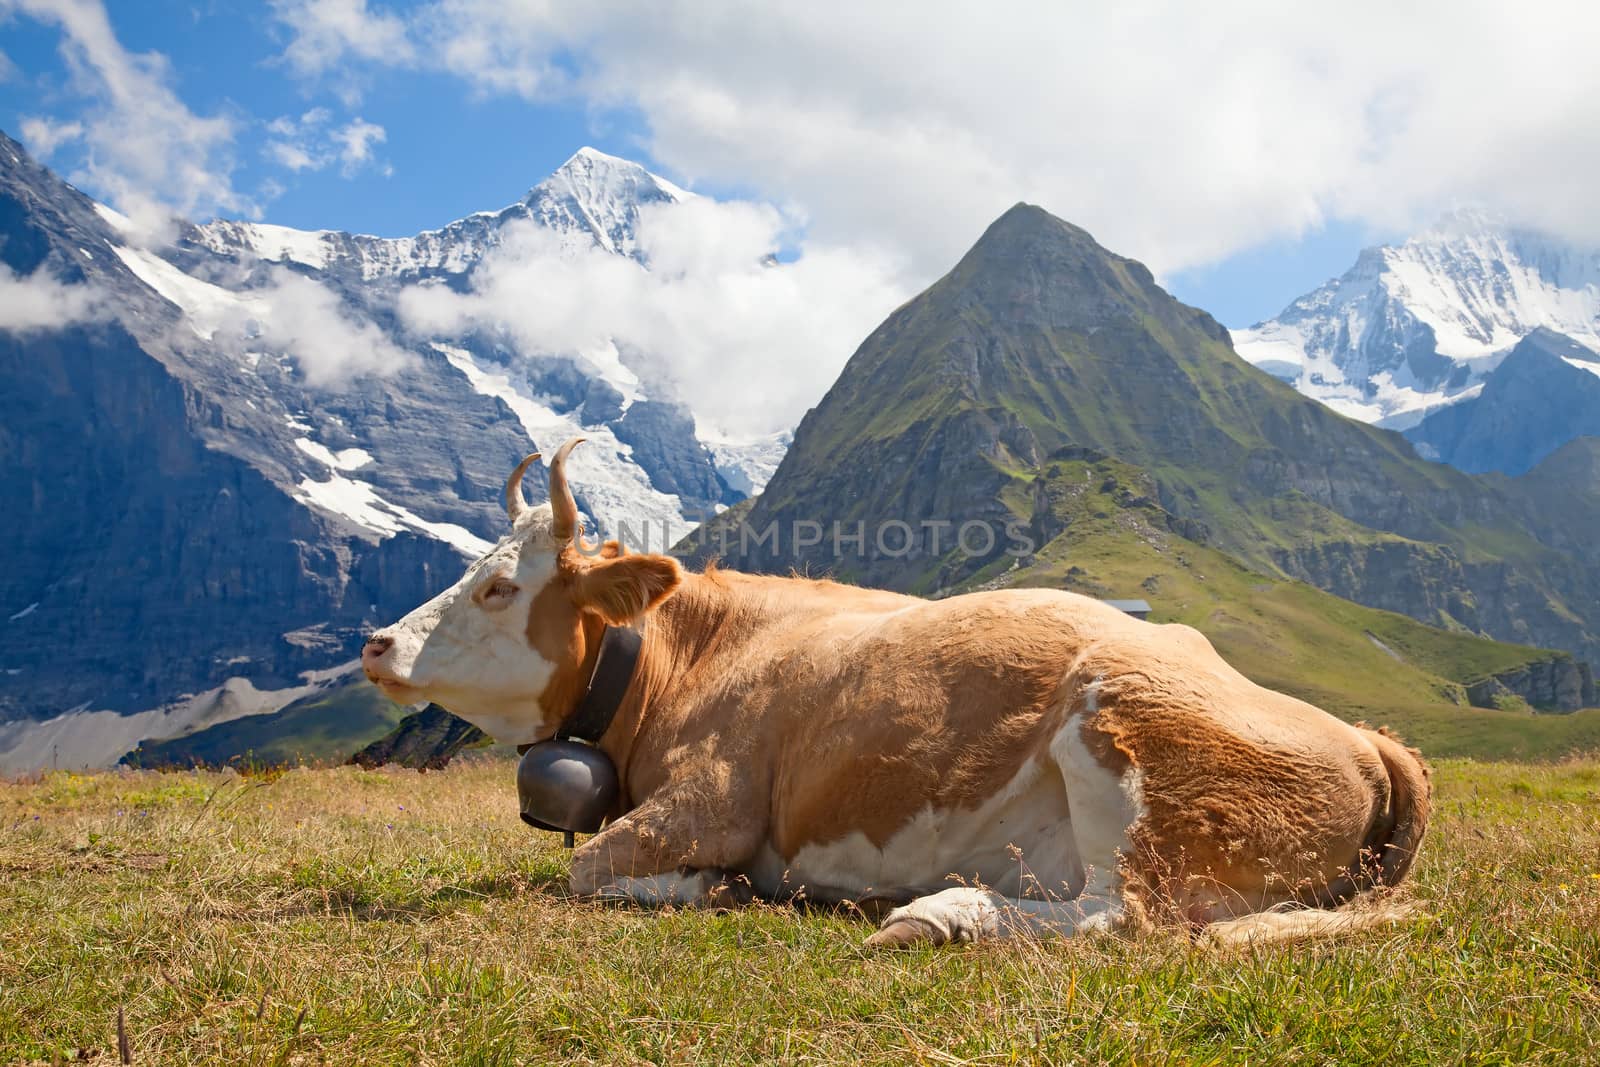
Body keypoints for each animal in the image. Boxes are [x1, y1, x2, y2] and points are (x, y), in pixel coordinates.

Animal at [366, 438, 1440, 947]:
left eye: (499, 588)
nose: (375, 643)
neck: (692, 655)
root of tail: (1367, 739)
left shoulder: (714, 799)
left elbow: (586, 869)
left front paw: (711, 887)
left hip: (1125, 738)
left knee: (1123, 919)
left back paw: (941, 913)